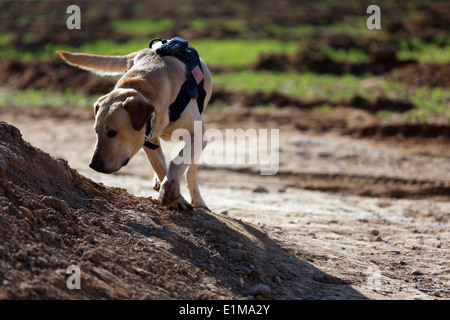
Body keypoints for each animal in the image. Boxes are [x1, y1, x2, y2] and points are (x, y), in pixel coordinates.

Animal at [58, 42, 213, 212]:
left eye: (113, 132)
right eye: (96, 132)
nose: (94, 165)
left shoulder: (198, 135)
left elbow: (178, 161)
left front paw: (170, 190)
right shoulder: (147, 138)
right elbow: (160, 166)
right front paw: (176, 198)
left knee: (191, 170)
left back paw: (198, 200)